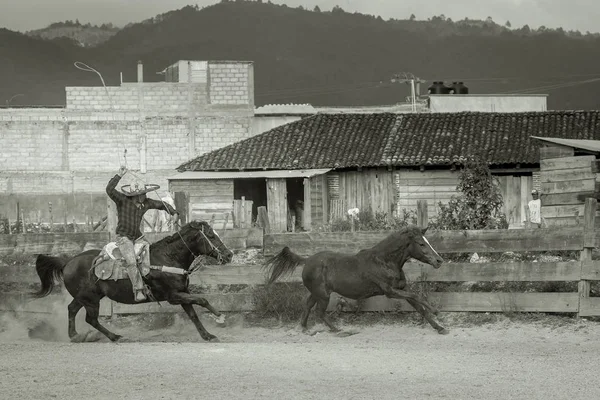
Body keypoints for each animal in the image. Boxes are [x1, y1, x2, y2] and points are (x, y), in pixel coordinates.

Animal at [31, 220, 234, 342]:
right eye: (212, 235)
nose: (229, 255)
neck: (168, 258)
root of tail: (68, 262)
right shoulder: (174, 296)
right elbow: (203, 300)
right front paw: (220, 318)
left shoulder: (183, 294)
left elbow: (193, 314)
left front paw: (207, 335)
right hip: (90, 299)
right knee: (91, 319)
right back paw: (115, 337)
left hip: (86, 297)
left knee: (72, 309)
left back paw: (75, 335)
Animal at [264, 225, 448, 334]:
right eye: (421, 244)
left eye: (427, 241)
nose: (439, 261)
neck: (384, 261)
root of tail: (307, 260)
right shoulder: (389, 291)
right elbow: (418, 297)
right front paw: (436, 311)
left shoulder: (402, 289)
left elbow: (419, 307)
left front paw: (440, 328)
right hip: (323, 295)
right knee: (319, 311)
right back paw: (337, 330)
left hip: (317, 293)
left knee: (308, 306)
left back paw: (304, 328)